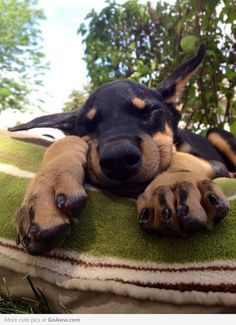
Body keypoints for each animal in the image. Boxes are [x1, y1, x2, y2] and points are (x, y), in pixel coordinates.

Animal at [9, 45, 236, 253]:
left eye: (151, 111)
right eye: (88, 125)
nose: (118, 160)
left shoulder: (213, 162)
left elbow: (178, 157)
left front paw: (175, 183)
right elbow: (64, 142)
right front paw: (44, 194)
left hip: (216, 133)